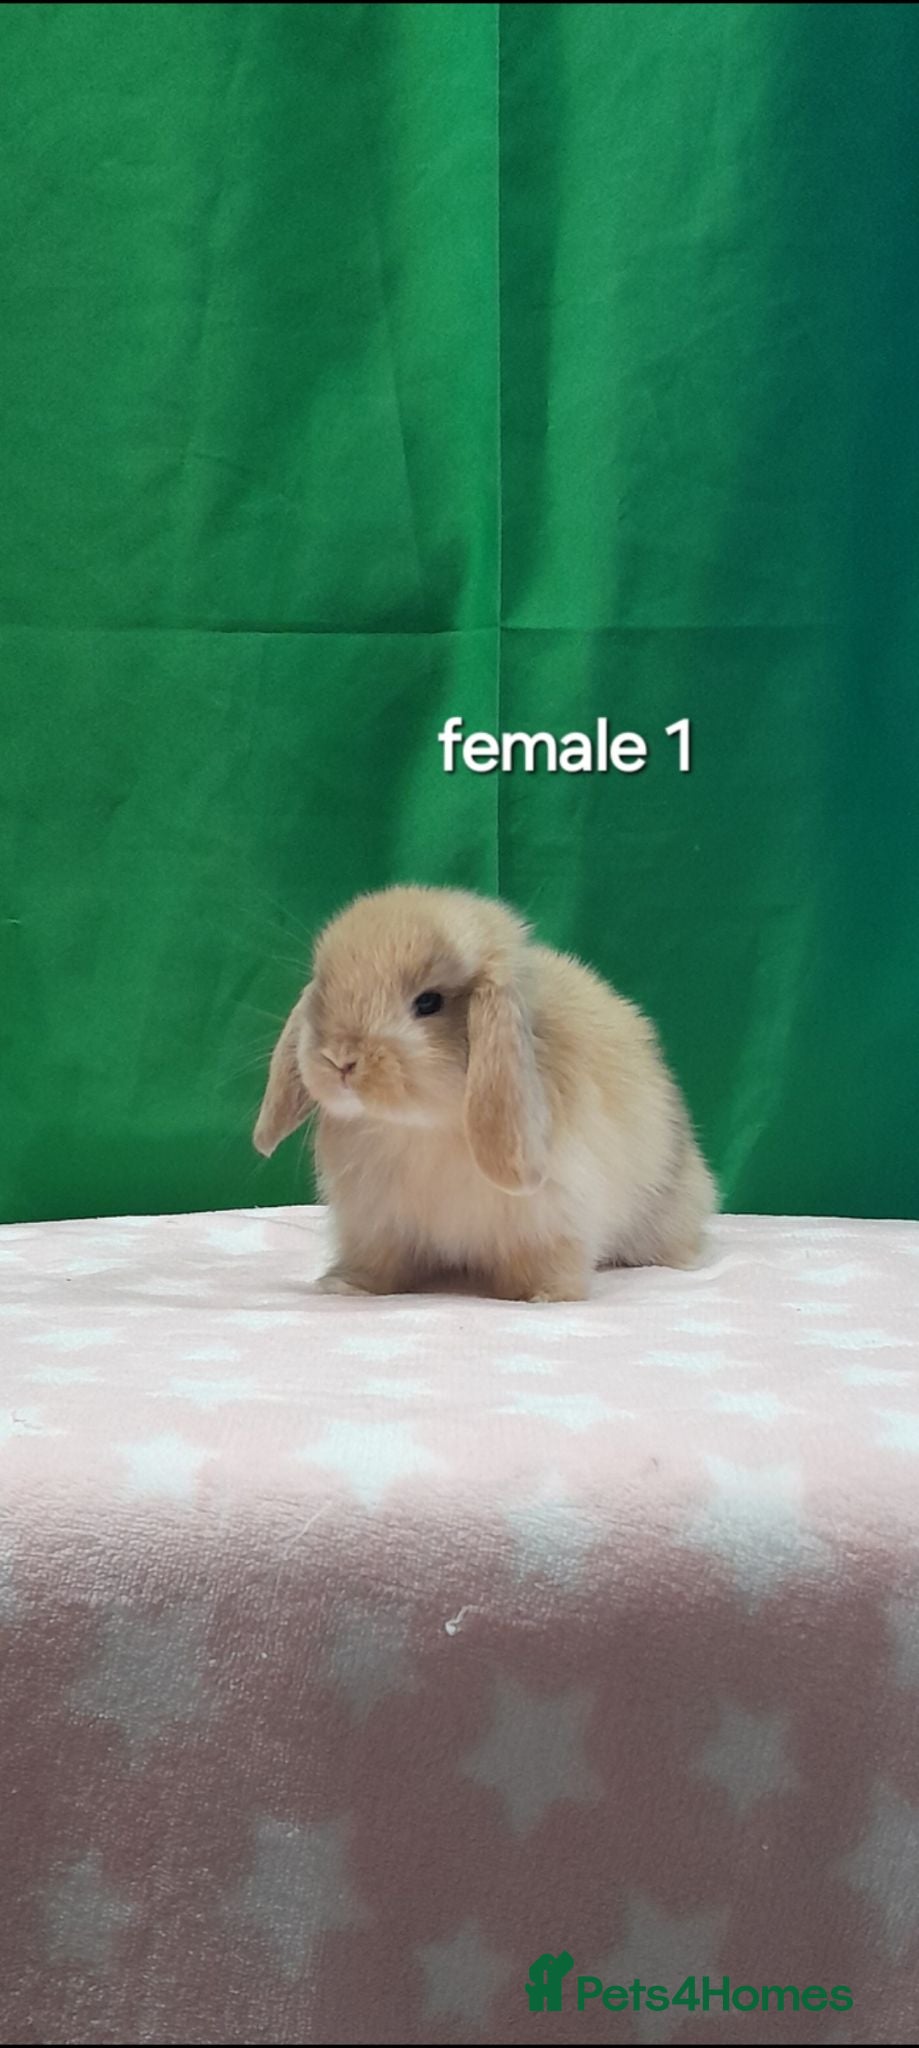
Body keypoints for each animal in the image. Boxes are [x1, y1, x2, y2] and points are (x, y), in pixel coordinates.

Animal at [252, 885, 716, 1302]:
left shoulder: (550, 1218)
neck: (422, 1128)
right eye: (323, 989)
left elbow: (545, 1261)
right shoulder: (374, 1224)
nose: (340, 1059)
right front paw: (347, 1285)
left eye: (429, 1002)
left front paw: (544, 1296)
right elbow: (378, 1262)